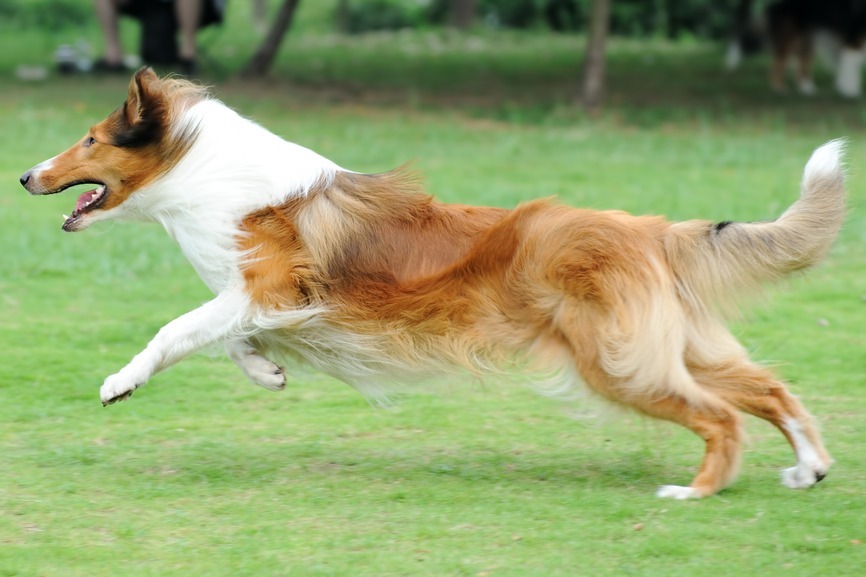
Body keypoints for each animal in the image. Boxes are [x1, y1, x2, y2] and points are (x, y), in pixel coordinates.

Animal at [20, 70, 844, 498]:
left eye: (90, 139)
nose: (26, 175)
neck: (203, 171)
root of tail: (650, 228)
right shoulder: (264, 303)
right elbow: (226, 339)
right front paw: (267, 371)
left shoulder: (269, 291)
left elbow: (177, 329)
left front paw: (120, 382)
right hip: (673, 347)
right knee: (771, 390)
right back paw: (810, 467)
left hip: (621, 362)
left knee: (723, 417)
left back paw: (695, 490)